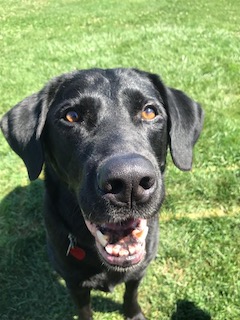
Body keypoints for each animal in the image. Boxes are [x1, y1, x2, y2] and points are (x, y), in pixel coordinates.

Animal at [0, 68, 202, 320]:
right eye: (71, 116)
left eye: (149, 112)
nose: (129, 182)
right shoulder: (74, 283)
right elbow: (84, 309)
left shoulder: (139, 270)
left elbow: (131, 294)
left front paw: (134, 314)